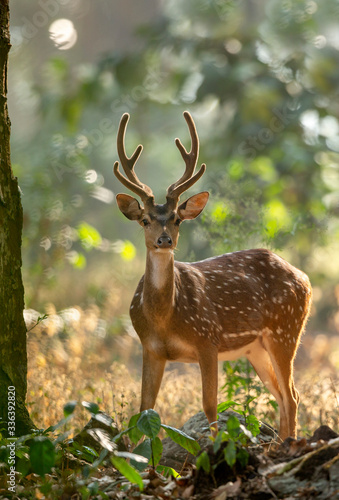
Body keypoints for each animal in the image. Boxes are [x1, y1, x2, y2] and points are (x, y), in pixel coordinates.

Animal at [114, 111, 314, 440]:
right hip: (256, 347)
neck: (164, 318)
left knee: (292, 394)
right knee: (283, 395)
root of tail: (306, 280)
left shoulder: (208, 338)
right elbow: (144, 409)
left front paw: (215, 446)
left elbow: (210, 405)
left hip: (285, 329)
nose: (164, 240)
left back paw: (289, 443)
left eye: (177, 219)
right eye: (144, 220)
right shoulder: (150, 348)